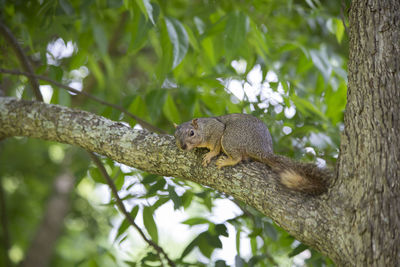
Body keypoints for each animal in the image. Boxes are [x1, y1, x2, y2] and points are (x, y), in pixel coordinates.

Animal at [175, 113, 332, 195]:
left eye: (191, 133)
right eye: (176, 136)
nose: (183, 146)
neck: (203, 128)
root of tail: (262, 150)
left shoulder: (216, 130)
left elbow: (215, 146)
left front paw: (210, 154)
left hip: (230, 138)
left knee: (237, 157)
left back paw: (227, 161)